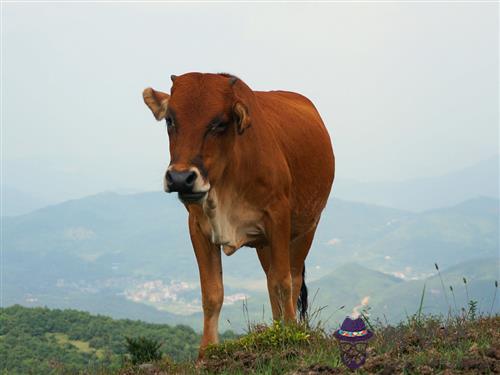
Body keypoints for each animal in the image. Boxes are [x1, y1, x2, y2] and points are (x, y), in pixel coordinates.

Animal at [143, 72, 334, 356]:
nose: (180, 178)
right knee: (269, 279)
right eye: (170, 120)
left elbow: (284, 282)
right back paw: (276, 328)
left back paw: (287, 329)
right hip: (264, 244)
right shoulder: (196, 226)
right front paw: (206, 352)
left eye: (219, 123)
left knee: (292, 278)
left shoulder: (278, 218)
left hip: (306, 229)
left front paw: (290, 337)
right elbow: (212, 292)